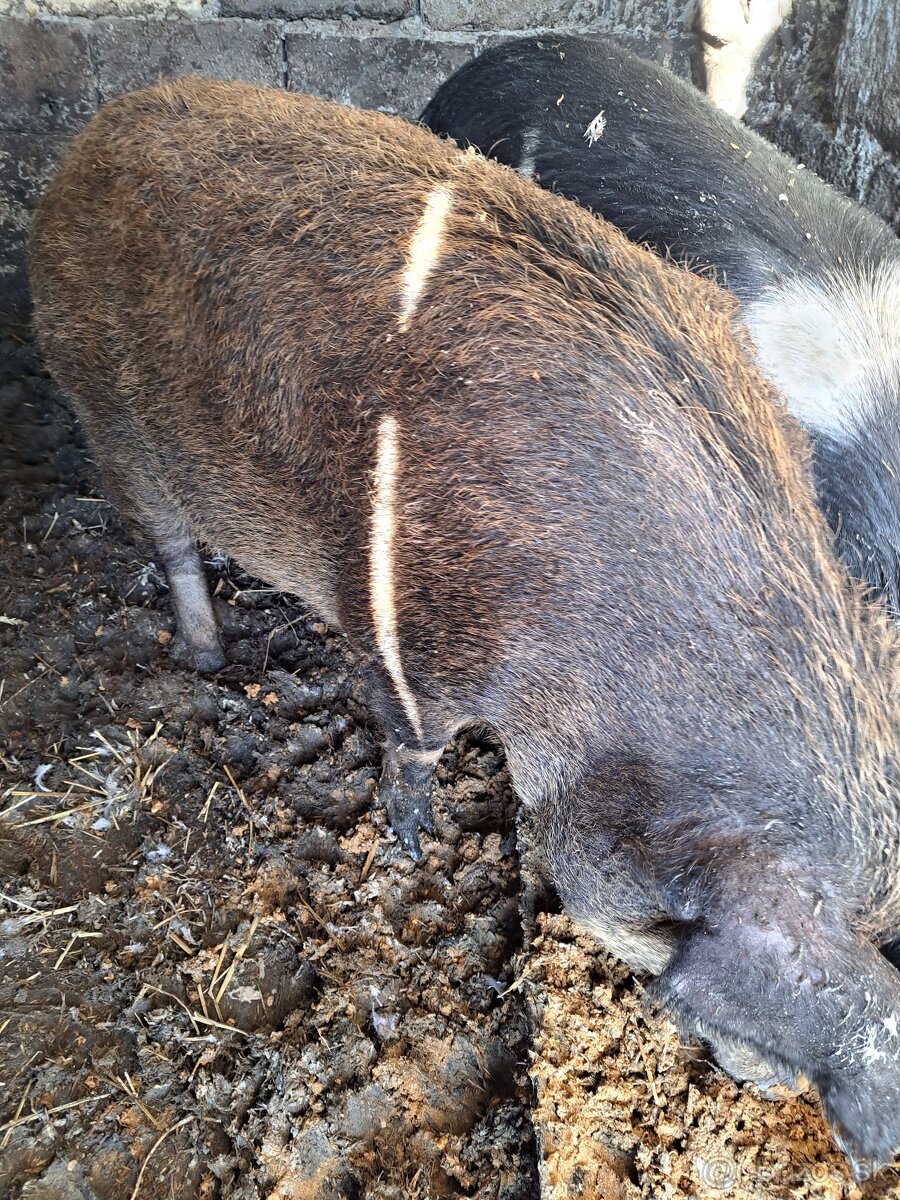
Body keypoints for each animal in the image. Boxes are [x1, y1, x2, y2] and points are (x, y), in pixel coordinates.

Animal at [28, 79, 900, 1176]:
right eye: (671, 919)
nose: (786, 1090)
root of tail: (90, 143)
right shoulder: (408, 631)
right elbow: (413, 742)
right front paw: (413, 841)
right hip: (106, 411)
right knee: (172, 541)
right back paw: (205, 655)